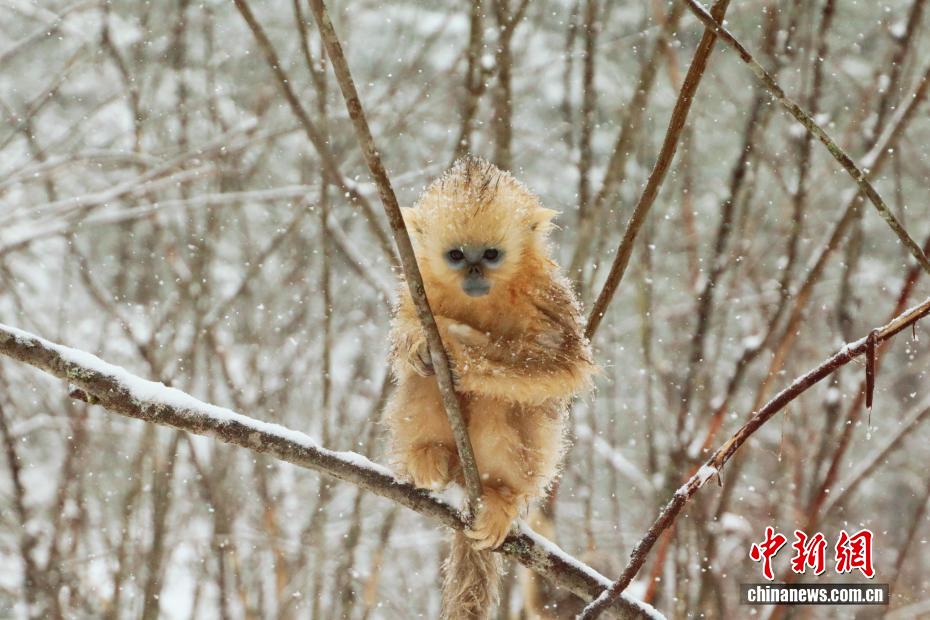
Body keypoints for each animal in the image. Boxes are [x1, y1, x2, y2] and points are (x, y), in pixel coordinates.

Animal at [383, 156, 597, 619]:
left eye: (491, 254)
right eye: (457, 255)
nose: (475, 272)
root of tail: (469, 482)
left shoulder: (548, 295)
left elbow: (563, 364)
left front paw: (461, 353)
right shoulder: (416, 287)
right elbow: (404, 344)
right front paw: (422, 345)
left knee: (500, 402)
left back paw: (501, 498)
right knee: (424, 384)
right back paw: (427, 458)